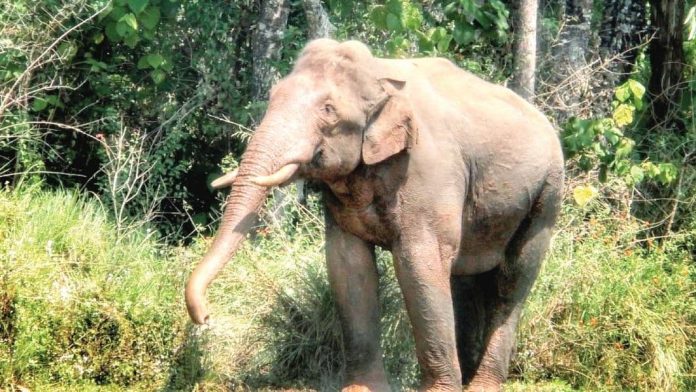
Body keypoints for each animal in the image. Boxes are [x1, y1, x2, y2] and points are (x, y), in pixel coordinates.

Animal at [186, 37, 564, 392]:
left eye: (328, 110)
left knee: (513, 279)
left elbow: (419, 262)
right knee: (466, 280)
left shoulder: (428, 172)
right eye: (273, 95)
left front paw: (438, 390)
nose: (205, 317)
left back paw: (482, 384)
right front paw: (360, 388)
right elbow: (348, 266)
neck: (380, 73)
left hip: (547, 195)